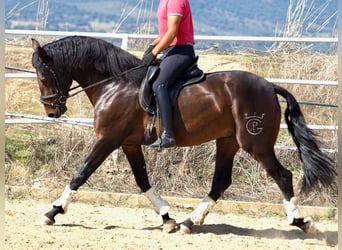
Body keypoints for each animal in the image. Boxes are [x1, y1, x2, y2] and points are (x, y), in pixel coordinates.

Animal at [32, 35, 336, 234]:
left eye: (43, 74)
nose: (51, 110)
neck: (115, 84)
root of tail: (270, 86)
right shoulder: (129, 143)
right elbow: (142, 181)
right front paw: (167, 218)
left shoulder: (107, 139)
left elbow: (80, 174)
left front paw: (52, 212)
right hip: (228, 142)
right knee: (221, 182)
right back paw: (189, 222)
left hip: (255, 143)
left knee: (282, 175)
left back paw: (300, 221)